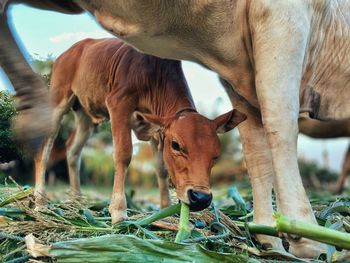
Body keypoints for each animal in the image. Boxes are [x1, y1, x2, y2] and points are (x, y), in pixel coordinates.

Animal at [33, 38, 246, 225]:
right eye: (176, 145)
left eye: (216, 155)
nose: (200, 197)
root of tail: (69, 52)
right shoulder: (119, 104)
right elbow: (123, 154)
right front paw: (118, 211)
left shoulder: (156, 127)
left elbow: (161, 168)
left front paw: (165, 209)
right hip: (58, 100)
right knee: (44, 147)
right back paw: (40, 201)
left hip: (85, 115)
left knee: (72, 149)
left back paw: (77, 199)